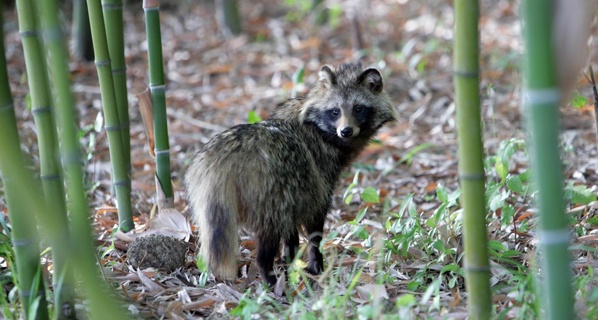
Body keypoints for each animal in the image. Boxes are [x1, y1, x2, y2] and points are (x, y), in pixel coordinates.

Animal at [185, 62, 396, 284]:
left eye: (358, 108)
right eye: (335, 111)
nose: (345, 131)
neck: (317, 127)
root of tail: (223, 156)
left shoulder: (295, 190)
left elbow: (291, 236)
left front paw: (290, 262)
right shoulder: (317, 182)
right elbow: (314, 230)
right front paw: (316, 264)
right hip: (267, 193)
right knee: (267, 243)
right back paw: (270, 279)